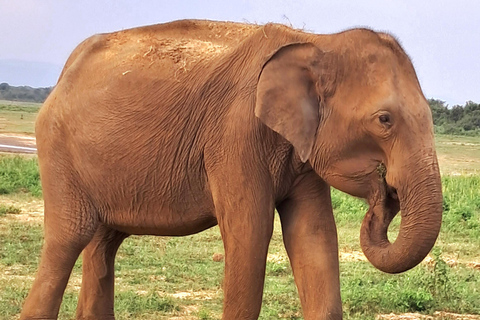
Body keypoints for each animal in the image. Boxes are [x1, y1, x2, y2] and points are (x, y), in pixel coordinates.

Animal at [21, 20, 442, 320]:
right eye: (384, 120)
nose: (385, 195)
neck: (317, 40)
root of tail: (64, 75)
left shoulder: (300, 150)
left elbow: (314, 234)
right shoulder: (234, 136)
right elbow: (250, 233)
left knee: (102, 243)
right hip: (57, 149)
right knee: (68, 239)